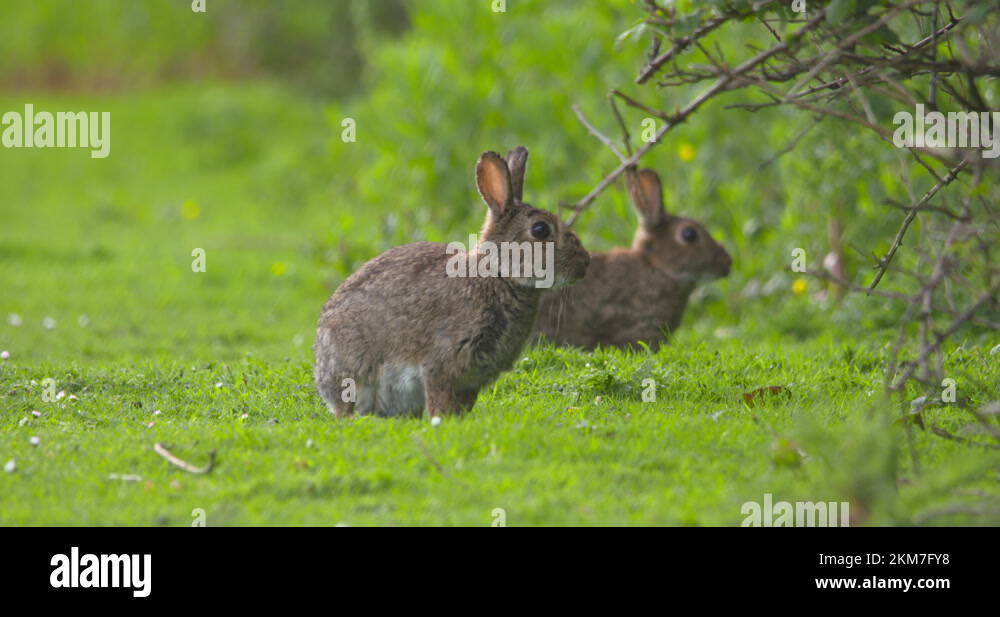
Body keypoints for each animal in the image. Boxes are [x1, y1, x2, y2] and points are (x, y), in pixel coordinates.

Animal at [314, 147, 590, 418]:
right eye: (540, 230)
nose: (585, 263)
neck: (497, 274)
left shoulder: (473, 378)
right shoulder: (443, 362)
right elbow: (440, 398)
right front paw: (444, 420)